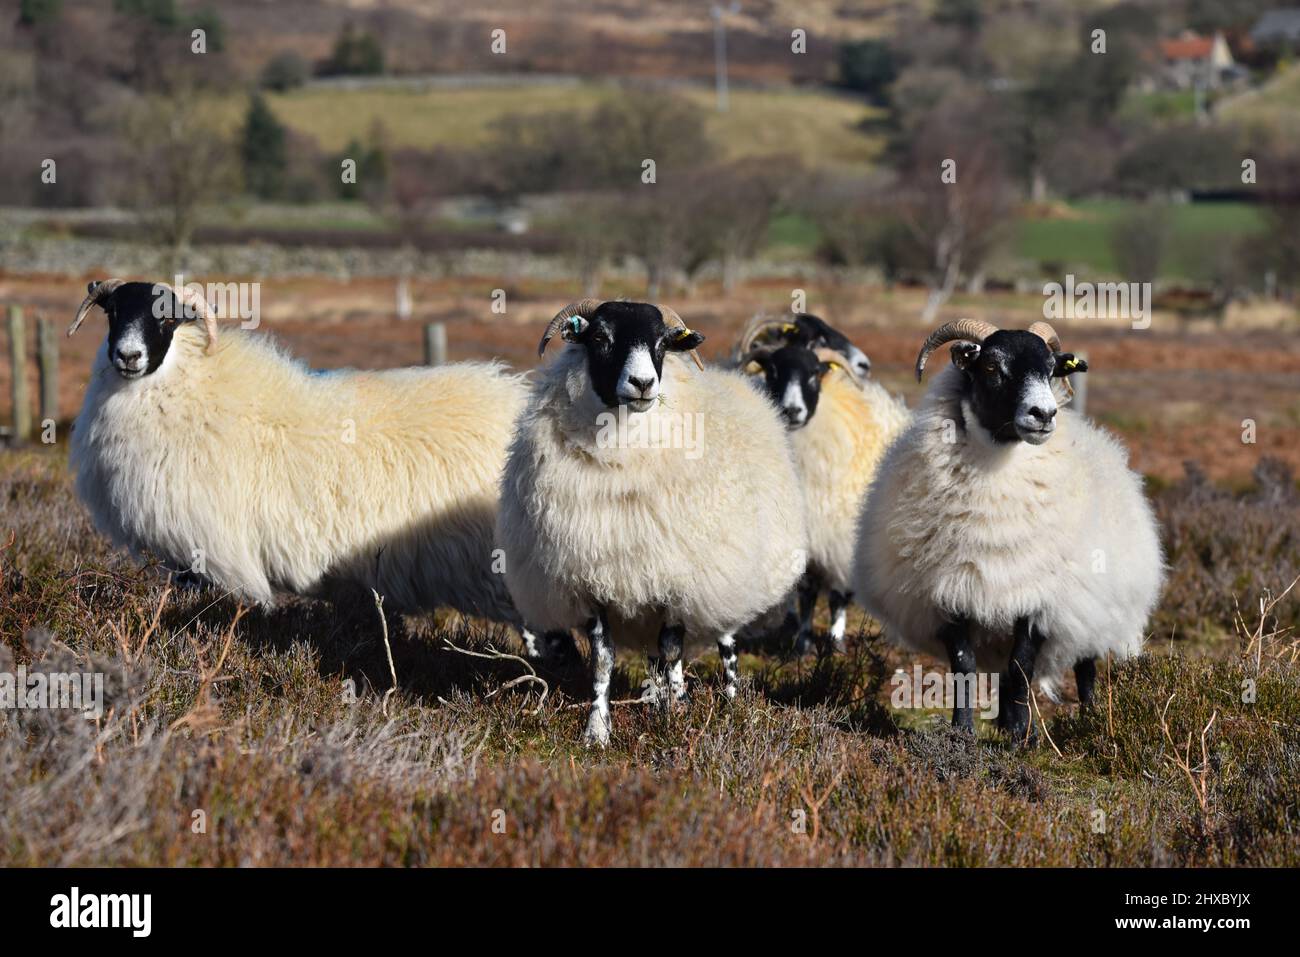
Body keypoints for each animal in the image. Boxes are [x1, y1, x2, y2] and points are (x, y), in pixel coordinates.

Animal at [496, 299, 808, 745]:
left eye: (662, 343)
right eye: (600, 337)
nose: (643, 383)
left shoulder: (676, 579)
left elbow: (673, 650)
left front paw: (679, 716)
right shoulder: (592, 581)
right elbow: (604, 660)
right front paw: (597, 730)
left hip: (725, 572)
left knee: (723, 643)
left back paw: (729, 704)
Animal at [736, 315, 909, 654]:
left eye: (815, 374)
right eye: (773, 371)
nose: (792, 410)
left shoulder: (842, 536)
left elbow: (839, 596)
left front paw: (836, 643)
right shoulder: (807, 539)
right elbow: (806, 593)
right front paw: (802, 643)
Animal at [851, 318, 1164, 741]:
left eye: (1051, 371)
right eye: (990, 367)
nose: (1044, 414)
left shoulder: (1038, 600)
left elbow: (1021, 666)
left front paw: (1018, 737)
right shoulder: (949, 592)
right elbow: (964, 665)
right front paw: (964, 732)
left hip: (1091, 608)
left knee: (1084, 669)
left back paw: (1089, 720)